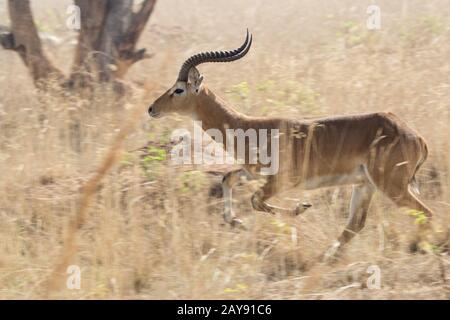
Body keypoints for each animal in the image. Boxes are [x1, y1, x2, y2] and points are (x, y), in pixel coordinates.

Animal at [149, 30, 434, 258]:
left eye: (178, 89)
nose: (151, 108)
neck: (251, 128)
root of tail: (417, 137)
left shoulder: (281, 181)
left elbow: (255, 200)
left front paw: (301, 207)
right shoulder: (252, 173)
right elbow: (227, 179)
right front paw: (238, 222)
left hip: (391, 186)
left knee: (426, 213)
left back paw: (418, 247)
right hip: (365, 185)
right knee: (355, 225)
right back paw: (327, 257)